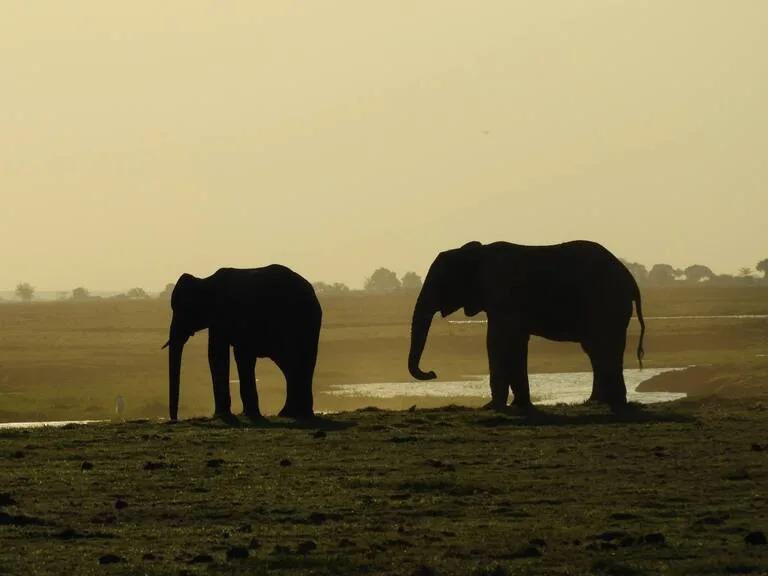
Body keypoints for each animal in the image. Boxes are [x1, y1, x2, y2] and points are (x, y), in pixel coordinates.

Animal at [162, 266, 320, 424]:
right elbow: (230, 355)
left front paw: (226, 415)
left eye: (182, 310)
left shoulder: (225, 315)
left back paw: (293, 413)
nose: (175, 420)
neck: (205, 281)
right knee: (294, 364)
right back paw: (294, 413)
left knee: (292, 362)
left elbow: (219, 355)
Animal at [408, 238, 648, 410]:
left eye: (440, 283)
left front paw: (492, 407)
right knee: (597, 350)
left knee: (602, 348)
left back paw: (613, 403)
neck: (475, 253)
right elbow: (516, 342)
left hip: (606, 304)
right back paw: (598, 402)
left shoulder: (503, 296)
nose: (433, 373)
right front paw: (519, 405)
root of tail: (631, 280)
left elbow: (497, 342)